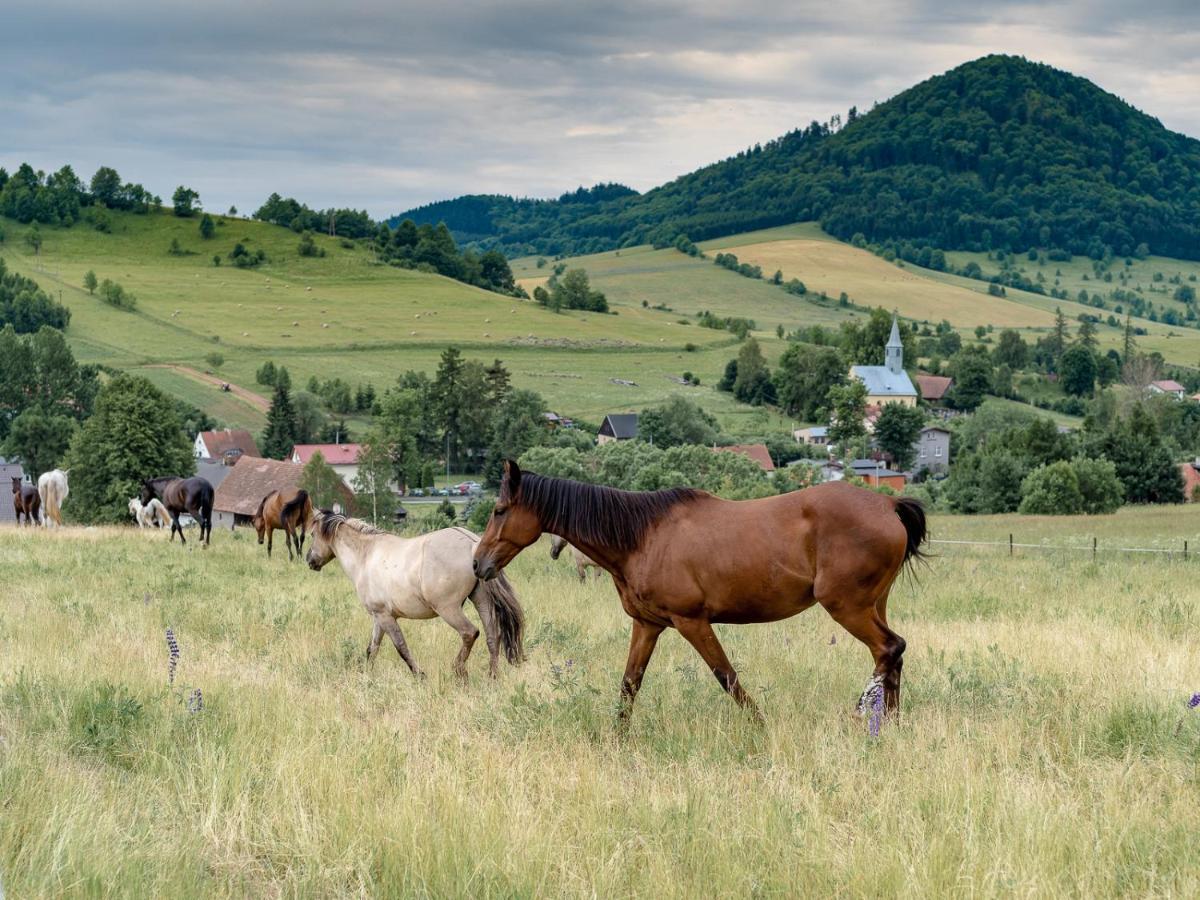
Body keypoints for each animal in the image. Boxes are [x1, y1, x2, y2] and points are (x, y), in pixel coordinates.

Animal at [304, 511, 525, 681]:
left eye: (312, 534)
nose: (310, 560)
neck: (365, 556)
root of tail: (473, 544)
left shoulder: (385, 617)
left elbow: (401, 647)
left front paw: (420, 675)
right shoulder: (379, 617)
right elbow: (372, 648)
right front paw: (366, 675)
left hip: (449, 609)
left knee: (470, 633)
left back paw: (458, 671)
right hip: (481, 601)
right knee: (492, 636)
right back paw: (492, 676)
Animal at [475, 460, 926, 729]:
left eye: (499, 511)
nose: (478, 565)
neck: (642, 537)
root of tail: (887, 505)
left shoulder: (692, 622)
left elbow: (727, 677)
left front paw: (760, 727)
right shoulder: (648, 625)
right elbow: (630, 684)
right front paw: (616, 739)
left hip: (847, 607)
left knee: (889, 649)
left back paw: (864, 715)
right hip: (872, 606)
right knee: (893, 654)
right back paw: (890, 725)